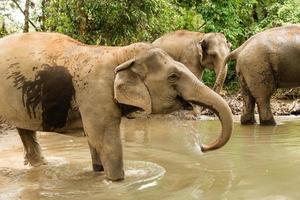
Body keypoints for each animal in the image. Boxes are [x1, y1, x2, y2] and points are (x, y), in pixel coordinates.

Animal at [0, 32, 233, 180]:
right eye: (173, 77)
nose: (202, 147)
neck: (119, 54)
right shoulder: (96, 93)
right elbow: (106, 142)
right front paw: (119, 182)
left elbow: (95, 142)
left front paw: (98, 173)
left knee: (25, 131)